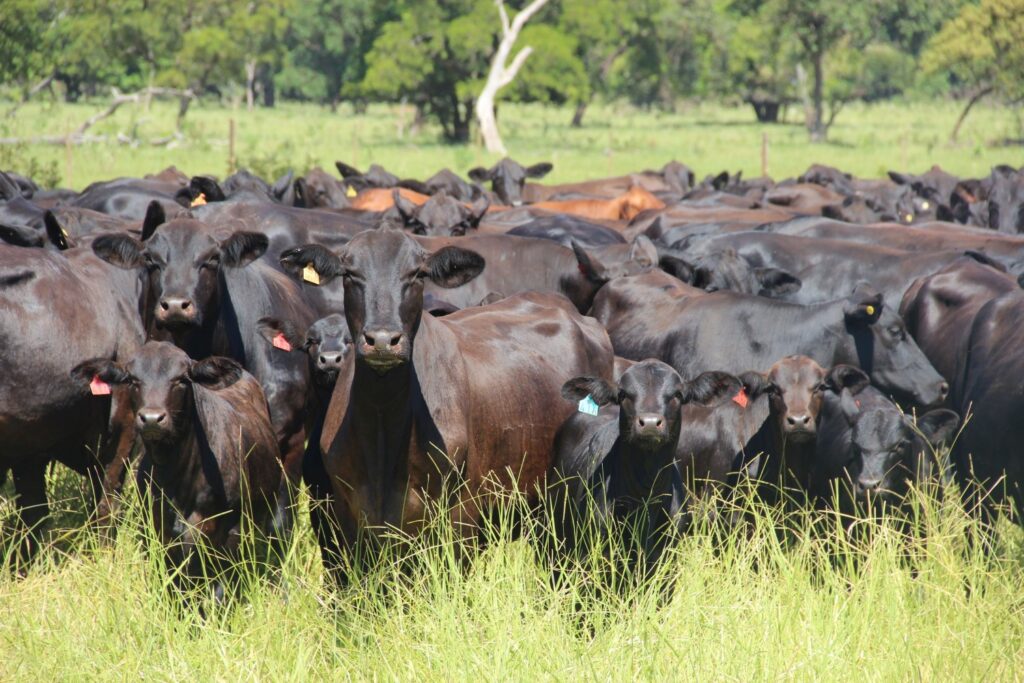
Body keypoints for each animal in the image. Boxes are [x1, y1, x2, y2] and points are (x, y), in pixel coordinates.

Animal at [278, 229, 615, 580]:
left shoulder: (460, 518)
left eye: (416, 275)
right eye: (350, 275)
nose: (383, 340)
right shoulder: (342, 519)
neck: (383, 434)